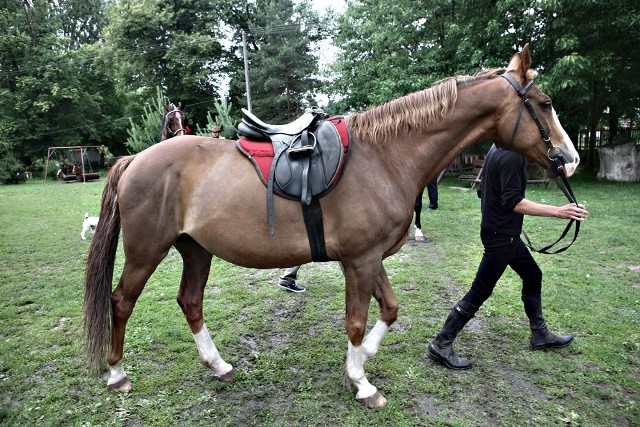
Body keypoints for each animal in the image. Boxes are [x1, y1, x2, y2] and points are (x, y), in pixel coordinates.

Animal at [84, 45, 580, 410]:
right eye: (544, 104)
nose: (570, 158)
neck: (384, 158)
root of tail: (134, 160)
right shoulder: (359, 261)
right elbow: (357, 320)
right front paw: (362, 381)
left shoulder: (368, 258)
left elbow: (389, 309)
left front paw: (360, 363)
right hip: (147, 250)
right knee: (121, 301)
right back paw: (117, 373)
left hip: (195, 248)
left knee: (189, 301)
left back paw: (218, 364)